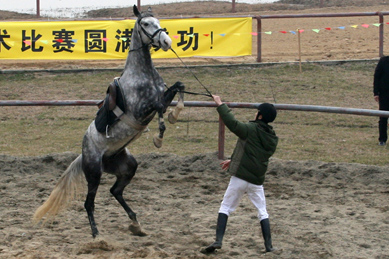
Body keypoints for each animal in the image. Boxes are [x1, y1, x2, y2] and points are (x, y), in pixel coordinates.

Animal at [33, 5, 185, 240]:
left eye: (158, 21)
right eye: (145, 23)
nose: (167, 41)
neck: (143, 75)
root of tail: (83, 153)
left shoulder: (162, 95)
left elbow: (179, 87)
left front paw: (173, 115)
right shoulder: (141, 109)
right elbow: (159, 106)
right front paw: (159, 136)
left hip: (127, 166)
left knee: (115, 191)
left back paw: (136, 224)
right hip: (94, 173)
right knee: (89, 203)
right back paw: (97, 236)